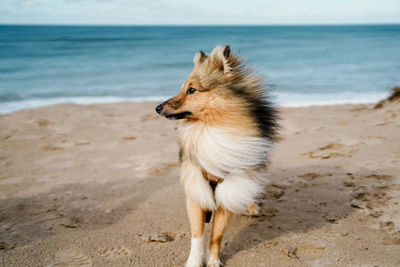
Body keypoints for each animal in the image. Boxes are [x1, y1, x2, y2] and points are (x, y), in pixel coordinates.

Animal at [155, 45, 278, 266]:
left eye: (191, 90)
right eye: (182, 88)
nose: (157, 108)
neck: (209, 128)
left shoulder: (229, 191)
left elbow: (217, 235)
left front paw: (213, 261)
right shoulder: (196, 191)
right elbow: (198, 235)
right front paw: (194, 262)